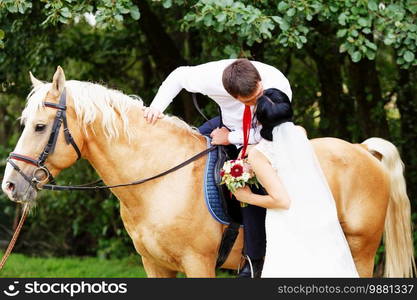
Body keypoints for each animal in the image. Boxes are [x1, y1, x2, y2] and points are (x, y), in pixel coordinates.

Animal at [1, 67, 414, 278]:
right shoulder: (155, 266)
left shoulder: (198, 264)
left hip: (360, 252)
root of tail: (361, 150)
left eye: (40, 127)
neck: (159, 181)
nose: (10, 185)